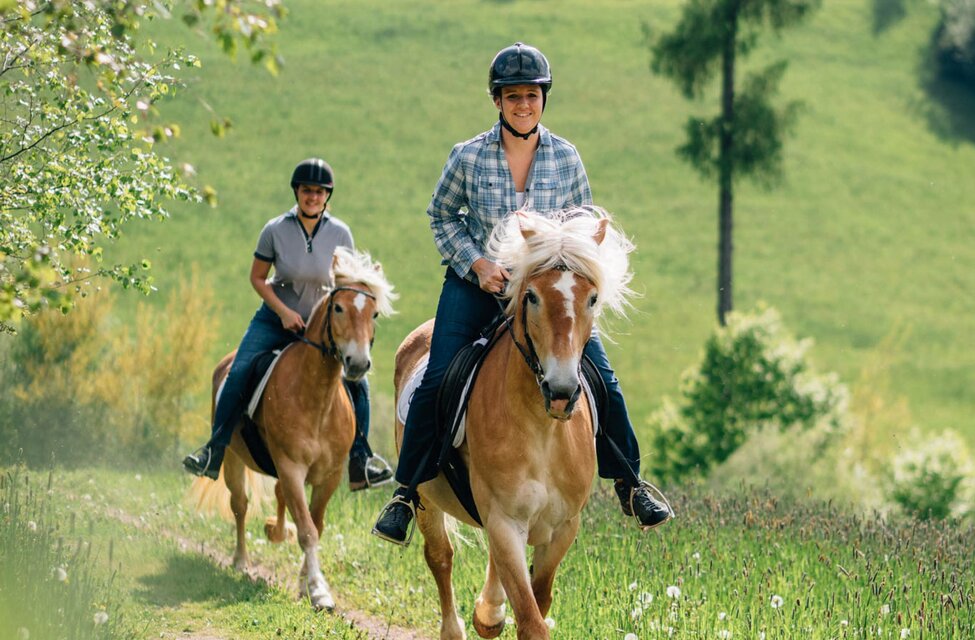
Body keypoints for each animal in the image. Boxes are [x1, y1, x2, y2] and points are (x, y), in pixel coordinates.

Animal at [193, 246, 394, 608]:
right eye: (338, 308)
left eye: (373, 314)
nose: (358, 364)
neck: (317, 400)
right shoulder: (290, 467)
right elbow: (307, 530)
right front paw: (318, 590)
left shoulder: (329, 475)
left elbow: (315, 524)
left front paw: (305, 584)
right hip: (232, 459)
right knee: (240, 505)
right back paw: (241, 561)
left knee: (276, 498)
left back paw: (275, 530)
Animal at [392, 208, 636, 636]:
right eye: (532, 296)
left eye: (592, 298)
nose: (561, 390)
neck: (543, 430)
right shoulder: (505, 522)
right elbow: (530, 618)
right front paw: (493, 615)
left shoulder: (562, 527)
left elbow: (539, 599)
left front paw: (492, 613)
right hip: (425, 499)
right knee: (440, 556)